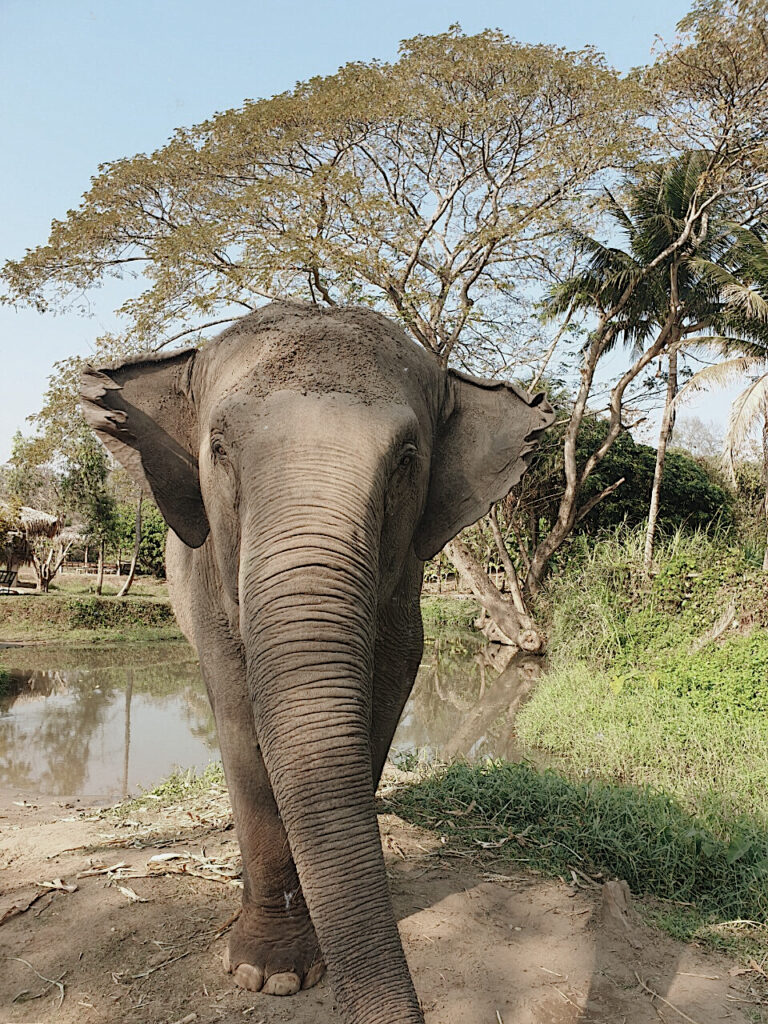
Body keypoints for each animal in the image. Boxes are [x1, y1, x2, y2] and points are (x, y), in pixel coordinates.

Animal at [81, 299, 557, 1019]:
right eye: (218, 449)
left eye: (407, 459)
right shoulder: (210, 594)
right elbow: (241, 726)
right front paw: (270, 974)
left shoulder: (404, 598)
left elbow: (381, 703)